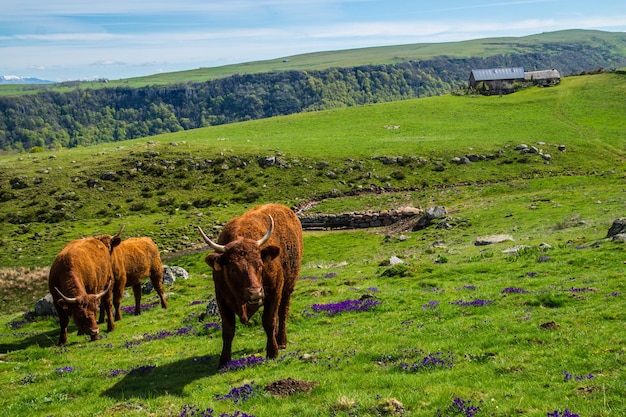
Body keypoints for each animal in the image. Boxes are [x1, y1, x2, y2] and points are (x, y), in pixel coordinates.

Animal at [196, 202, 302, 368]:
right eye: (233, 269)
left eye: (260, 264)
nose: (256, 293)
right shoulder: (221, 298)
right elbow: (228, 329)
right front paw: (224, 361)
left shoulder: (274, 292)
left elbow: (269, 321)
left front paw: (272, 352)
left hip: (288, 288)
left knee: (282, 313)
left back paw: (281, 341)